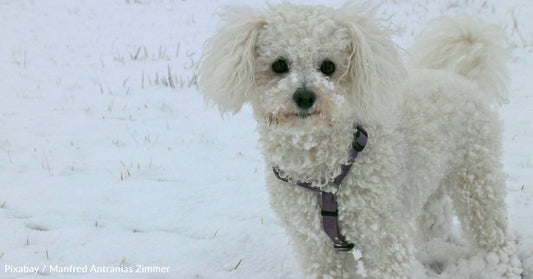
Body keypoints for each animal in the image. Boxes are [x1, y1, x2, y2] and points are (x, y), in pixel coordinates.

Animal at [198, 2, 520, 279]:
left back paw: (501, 267)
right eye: (279, 65)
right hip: (431, 180)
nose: (304, 96)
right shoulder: (317, 246)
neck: (324, 172)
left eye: (328, 66)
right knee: (434, 219)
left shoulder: (382, 238)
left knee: (494, 234)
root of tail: (460, 77)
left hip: (476, 178)